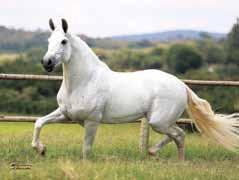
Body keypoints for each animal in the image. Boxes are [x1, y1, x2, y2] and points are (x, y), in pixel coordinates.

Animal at [32, 19, 239, 160]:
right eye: (49, 40)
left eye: (63, 41)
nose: (46, 62)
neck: (83, 82)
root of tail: (181, 85)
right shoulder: (66, 114)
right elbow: (39, 122)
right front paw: (41, 149)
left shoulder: (92, 121)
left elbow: (86, 149)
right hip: (162, 121)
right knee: (178, 135)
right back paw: (167, 157)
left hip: (158, 121)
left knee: (179, 135)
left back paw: (158, 153)